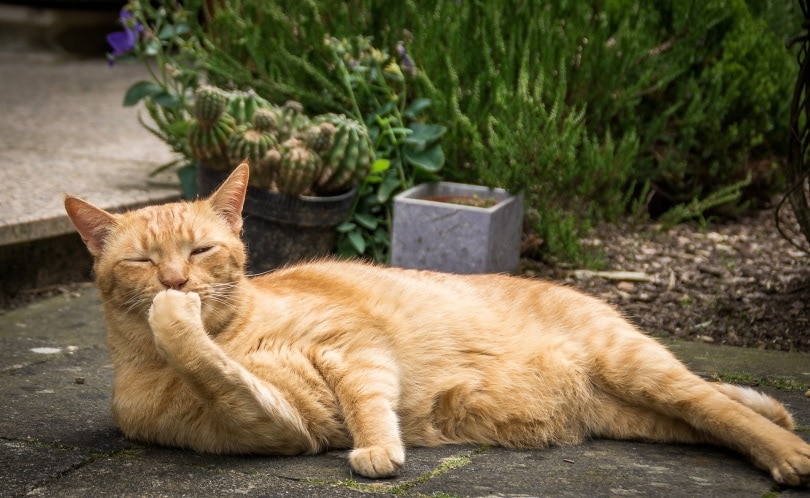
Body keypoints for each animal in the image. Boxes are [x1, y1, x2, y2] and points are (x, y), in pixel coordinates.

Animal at [64, 164, 808, 486]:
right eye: (142, 260)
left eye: (200, 250)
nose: (174, 283)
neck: (237, 332)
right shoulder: (275, 425)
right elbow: (221, 374)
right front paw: (177, 324)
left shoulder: (352, 346)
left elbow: (367, 399)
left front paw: (377, 448)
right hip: (634, 410)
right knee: (711, 415)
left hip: (634, 365)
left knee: (716, 404)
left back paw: (788, 451)